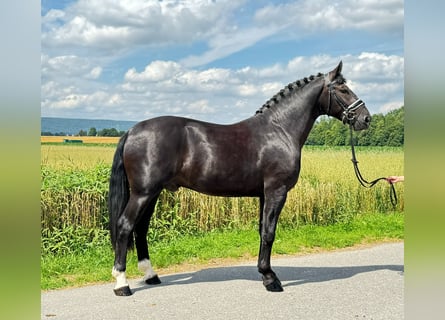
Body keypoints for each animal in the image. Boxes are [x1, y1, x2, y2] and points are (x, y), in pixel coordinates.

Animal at [108, 61, 372, 296]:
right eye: (343, 89)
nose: (366, 118)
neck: (280, 130)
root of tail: (132, 131)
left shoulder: (264, 194)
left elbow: (263, 230)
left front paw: (265, 274)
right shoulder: (277, 191)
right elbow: (269, 232)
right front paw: (271, 280)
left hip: (153, 193)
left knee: (140, 229)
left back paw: (151, 275)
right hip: (143, 193)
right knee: (125, 226)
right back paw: (122, 284)